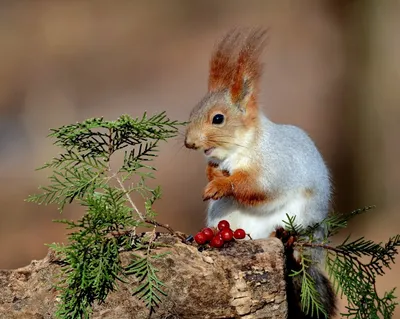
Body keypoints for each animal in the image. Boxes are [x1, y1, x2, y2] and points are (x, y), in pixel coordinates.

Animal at [184, 28, 338, 319]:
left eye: (218, 119)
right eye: (192, 111)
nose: (189, 143)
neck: (240, 150)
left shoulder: (275, 166)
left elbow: (257, 187)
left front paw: (222, 185)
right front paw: (213, 175)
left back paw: (282, 238)